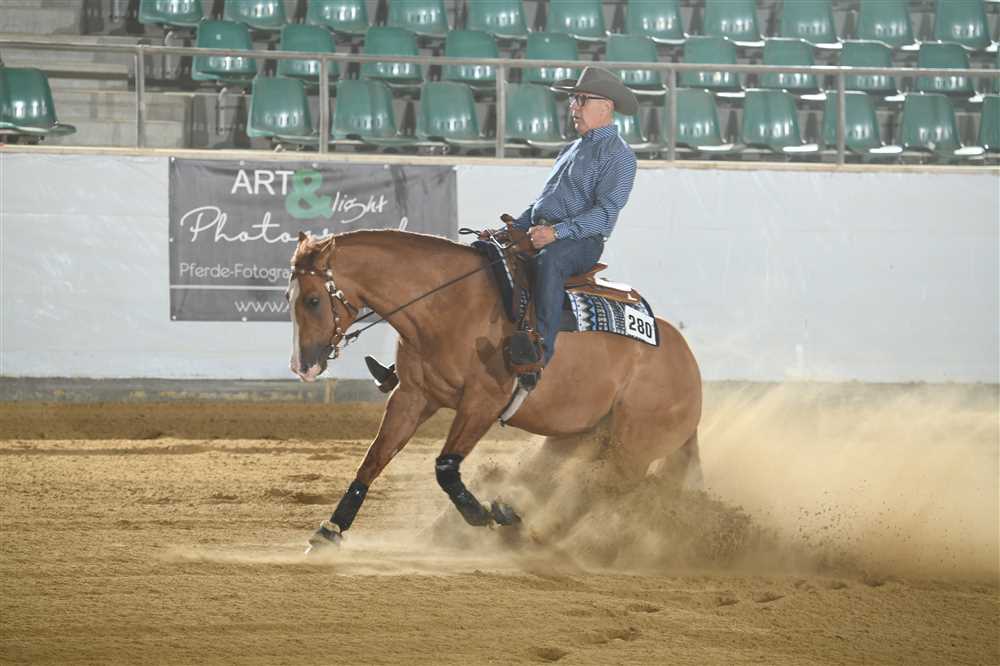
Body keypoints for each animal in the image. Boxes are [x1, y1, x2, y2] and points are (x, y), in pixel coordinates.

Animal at [288, 229, 703, 553]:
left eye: (313, 300)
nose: (302, 367)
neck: (449, 304)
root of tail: (688, 367)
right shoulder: (413, 396)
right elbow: (374, 459)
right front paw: (329, 532)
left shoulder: (481, 403)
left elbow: (446, 468)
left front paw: (481, 514)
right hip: (579, 435)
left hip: (631, 450)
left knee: (601, 489)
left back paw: (528, 529)